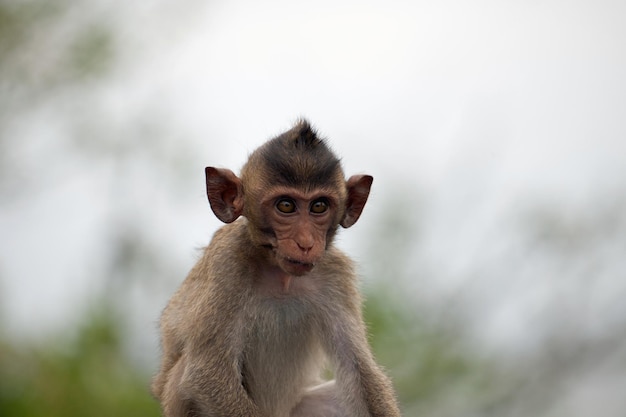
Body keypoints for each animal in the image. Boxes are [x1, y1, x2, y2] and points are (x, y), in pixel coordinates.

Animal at [150, 120, 400, 416]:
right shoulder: (228, 263)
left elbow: (360, 374)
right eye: (286, 206)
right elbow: (207, 373)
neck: (282, 277)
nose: (305, 243)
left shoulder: (335, 273)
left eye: (319, 206)